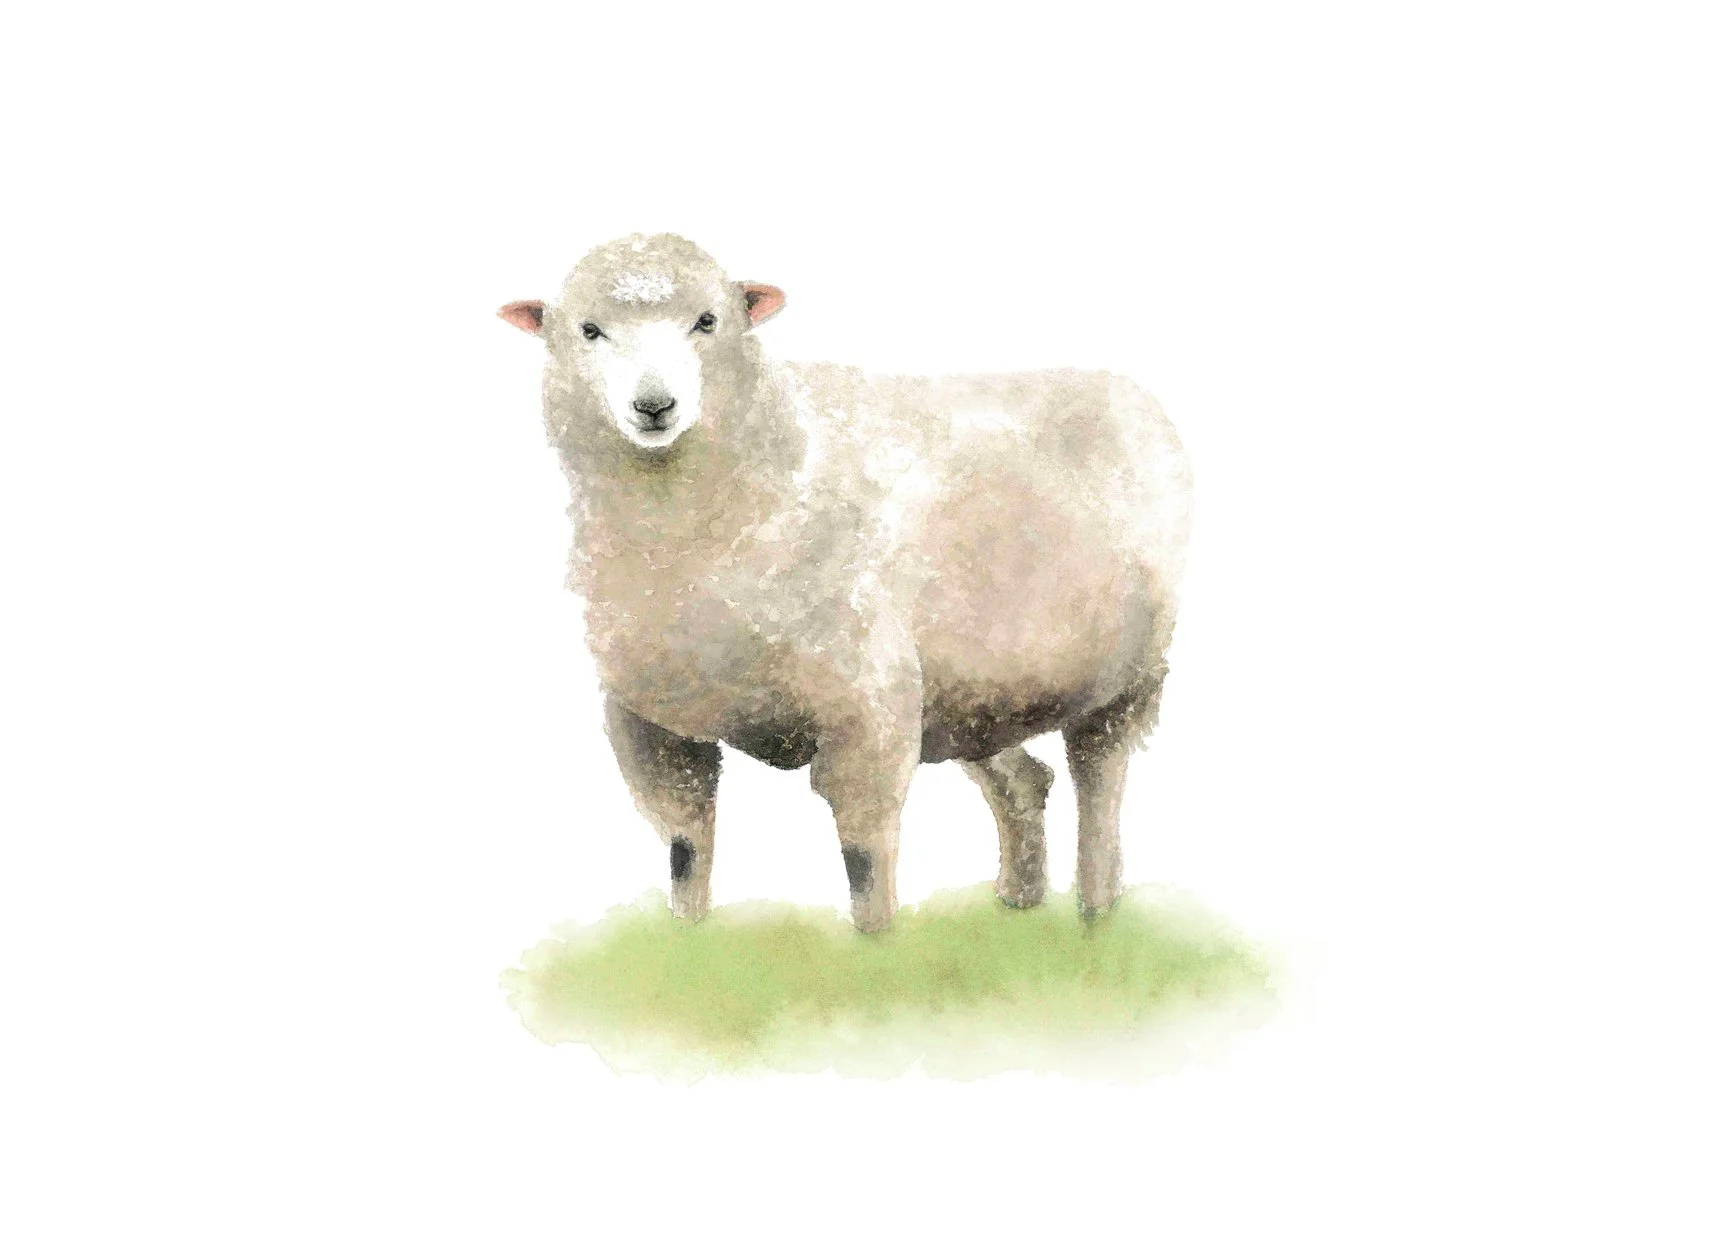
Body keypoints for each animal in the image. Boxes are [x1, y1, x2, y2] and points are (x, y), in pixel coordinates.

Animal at [498, 233, 1193, 932]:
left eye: (707, 321)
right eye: (589, 330)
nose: (654, 406)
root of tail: (1124, 388)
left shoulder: (869, 708)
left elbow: (864, 855)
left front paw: (877, 942)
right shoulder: (651, 721)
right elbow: (685, 846)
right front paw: (687, 934)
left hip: (1125, 674)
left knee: (1099, 780)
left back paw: (1097, 912)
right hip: (977, 692)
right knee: (1025, 782)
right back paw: (1019, 899)